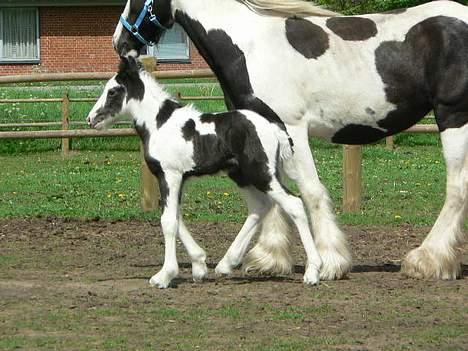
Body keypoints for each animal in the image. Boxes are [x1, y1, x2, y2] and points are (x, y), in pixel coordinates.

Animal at [87, 57, 322, 288]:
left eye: (113, 91)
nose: (91, 119)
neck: (159, 124)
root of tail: (273, 128)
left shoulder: (169, 175)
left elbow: (168, 221)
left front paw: (164, 276)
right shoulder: (177, 178)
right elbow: (175, 215)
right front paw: (199, 266)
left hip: (261, 173)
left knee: (294, 204)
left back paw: (313, 272)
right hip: (241, 175)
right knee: (259, 206)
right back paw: (226, 264)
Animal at [113, 0, 468, 280]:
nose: (120, 42)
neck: (248, 45)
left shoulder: (292, 128)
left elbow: (309, 192)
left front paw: (330, 263)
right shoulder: (261, 131)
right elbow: (271, 197)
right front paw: (269, 258)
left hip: (453, 118)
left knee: (456, 189)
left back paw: (427, 260)